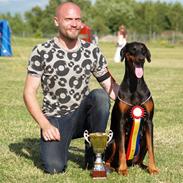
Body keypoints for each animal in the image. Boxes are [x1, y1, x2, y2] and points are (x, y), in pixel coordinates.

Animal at [105, 41, 159, 176]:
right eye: (133, 49)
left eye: (143, 50)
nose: (141, 58)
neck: (135, 84)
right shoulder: (121, 122)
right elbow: (122, 149)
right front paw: (122, 169)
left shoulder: (149, 121)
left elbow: (151, 148)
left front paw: (153, 168)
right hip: (112, 141)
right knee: (108, 160)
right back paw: (112, 168)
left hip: (142, 141)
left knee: (138, 161)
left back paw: (144, 166)